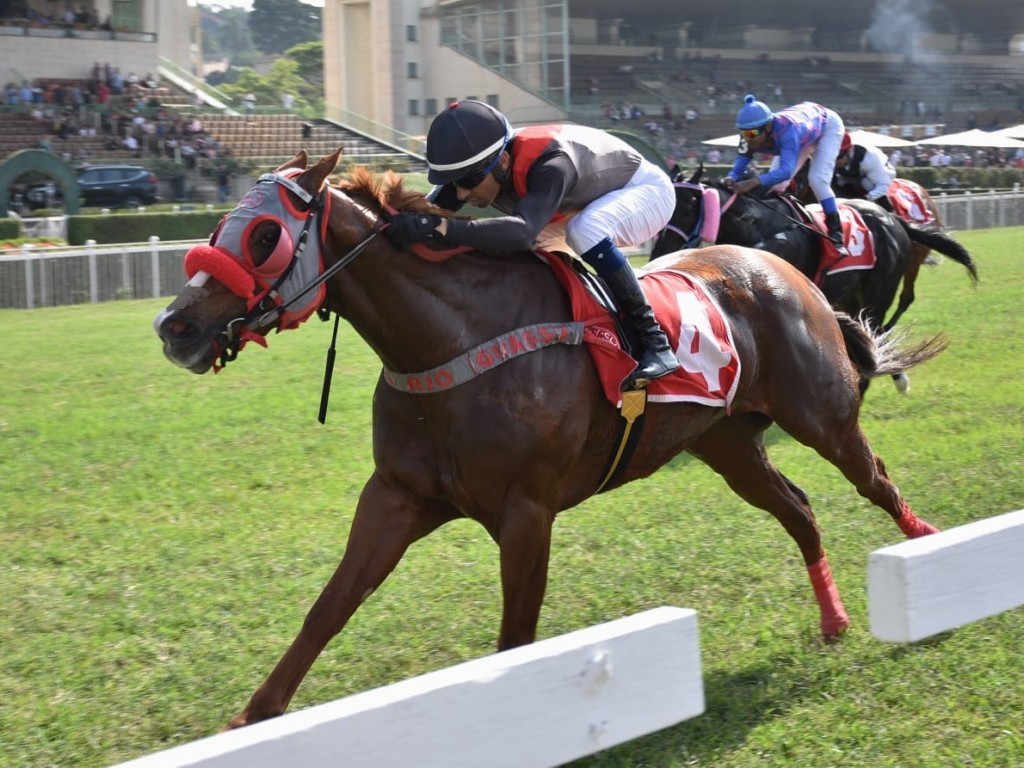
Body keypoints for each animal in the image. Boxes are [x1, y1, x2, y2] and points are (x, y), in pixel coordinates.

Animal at [155, 148, 946, 729]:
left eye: (264, 235)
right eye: (223, 224)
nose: (174, 326)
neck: (451, 341)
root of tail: (782, 269)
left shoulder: (526, 513)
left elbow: (515, 637)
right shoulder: (397, 497)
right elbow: (329, 606)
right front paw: (253, 718)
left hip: (822, 416)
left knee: (874, 478)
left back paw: (929, 554)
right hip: (726, 444)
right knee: (800, 510)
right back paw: (836, 618)